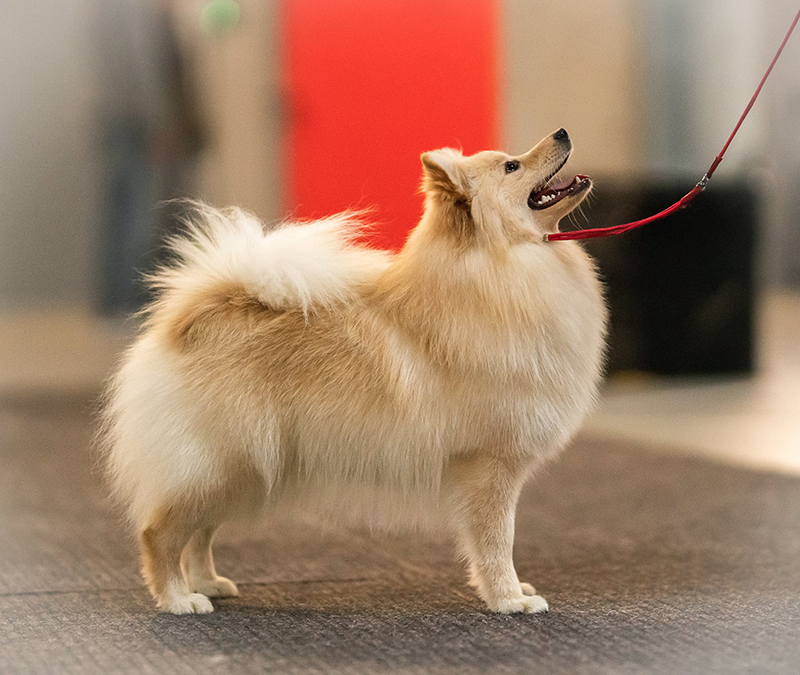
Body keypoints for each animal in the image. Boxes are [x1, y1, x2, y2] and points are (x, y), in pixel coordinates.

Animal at [100, 128, 607, 615]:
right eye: (511, 167)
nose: (562, 132)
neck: (502, 271)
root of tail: (190, 319)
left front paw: (513, 591)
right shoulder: (489, 468)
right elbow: (497, 543)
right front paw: (509, 600)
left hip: (241, 471)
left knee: (199, 533)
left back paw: (207, 583)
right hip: (219, 463)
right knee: (160, 534)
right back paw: (179, 599)